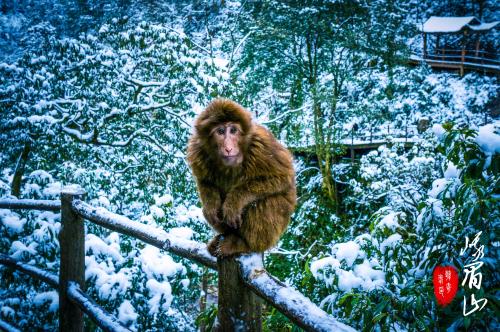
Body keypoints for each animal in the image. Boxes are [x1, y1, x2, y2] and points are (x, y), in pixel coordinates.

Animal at [188, 98, 296, 256]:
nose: (228, 148)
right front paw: (211, 207)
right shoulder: (197, 150)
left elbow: (281, 178)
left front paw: (234, 203)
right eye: (220, 131)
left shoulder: (263, 146)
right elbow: (205, 181)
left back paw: (242, 243)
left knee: (267, 201)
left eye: (233, 130)